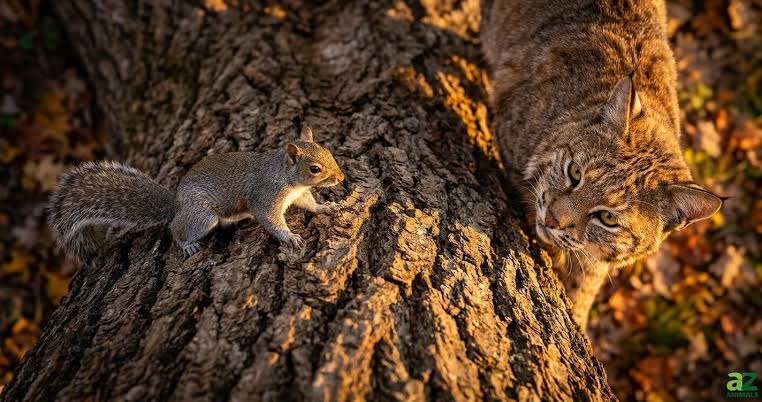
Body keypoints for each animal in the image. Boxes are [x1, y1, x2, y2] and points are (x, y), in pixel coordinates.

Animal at [47, 126, 345, 259]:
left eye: (329, 152)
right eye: (315, 168)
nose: (341, 177)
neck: (287, 176)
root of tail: (176, 204)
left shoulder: (299, 194)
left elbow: (309, 203)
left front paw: (326, 208)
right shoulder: (266, 197)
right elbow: (270, 220)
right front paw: (290, 237)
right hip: (202, 217)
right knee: (175, 229)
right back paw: (187, 244)